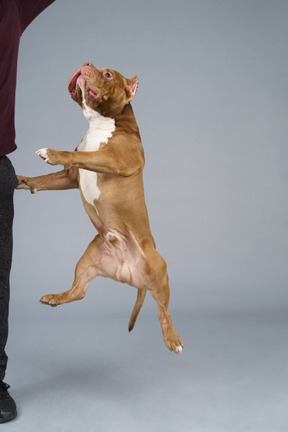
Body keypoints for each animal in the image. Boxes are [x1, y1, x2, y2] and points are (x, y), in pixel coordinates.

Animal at [18, 63, 183, 354]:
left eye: (108, 75)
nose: (85, 64)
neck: (99, 123)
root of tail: (131, 277)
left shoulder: (114, 159)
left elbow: (81, 156)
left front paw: (53, 153)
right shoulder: (70, 177)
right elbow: (44, 180)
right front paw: (22, 181)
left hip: (158, 268)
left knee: (164, 310)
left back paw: (172, 339)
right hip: (88, 258)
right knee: (79, 292)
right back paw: (55, 297)